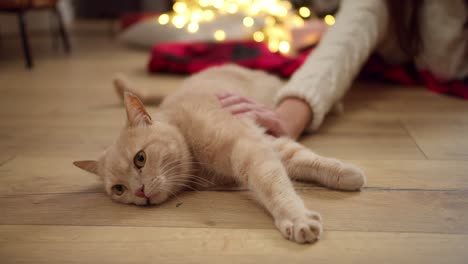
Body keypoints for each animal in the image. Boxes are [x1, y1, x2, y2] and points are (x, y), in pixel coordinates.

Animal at [74, 64, 366, 243]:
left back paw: (333, 105)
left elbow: (275, 186)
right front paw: (346, 175)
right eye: (119, 189)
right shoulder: (265, 143)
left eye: (140, 159)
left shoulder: (249, 148)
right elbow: (301, 160)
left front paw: (298, 218)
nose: (139, 192)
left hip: (274, 92)